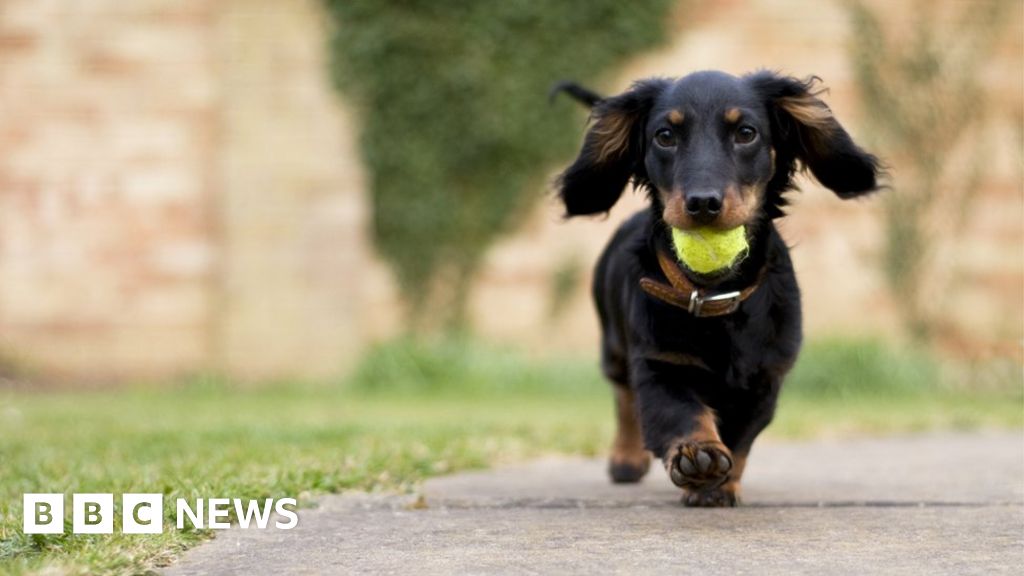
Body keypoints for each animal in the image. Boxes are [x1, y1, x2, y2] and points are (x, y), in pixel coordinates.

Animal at [552, 69, 880, 504]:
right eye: (665, 136)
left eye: (746, 132)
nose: (703, 203)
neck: (713, 294)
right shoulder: (659, 363)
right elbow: (679, 412)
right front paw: (698, 454)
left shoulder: (764, 378)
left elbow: (740, 438)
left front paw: (720, 485)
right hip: (614, 345)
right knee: (624, 397)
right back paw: (626, 458)